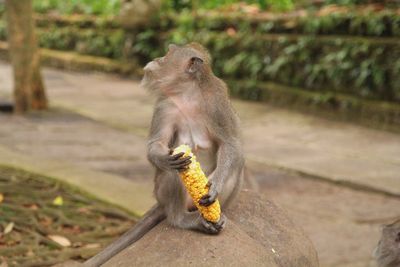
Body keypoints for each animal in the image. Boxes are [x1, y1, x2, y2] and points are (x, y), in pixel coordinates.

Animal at [85, 43, 244, 266]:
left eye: (169, 53)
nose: (158, 58)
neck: (189, 94)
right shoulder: (165, 105)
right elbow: (157, 144)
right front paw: (163, 158)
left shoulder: (217, 101)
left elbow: (230, 144)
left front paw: (216, 185)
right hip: (161, 192)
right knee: (176, 169)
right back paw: (181, 218)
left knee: (237, 166)